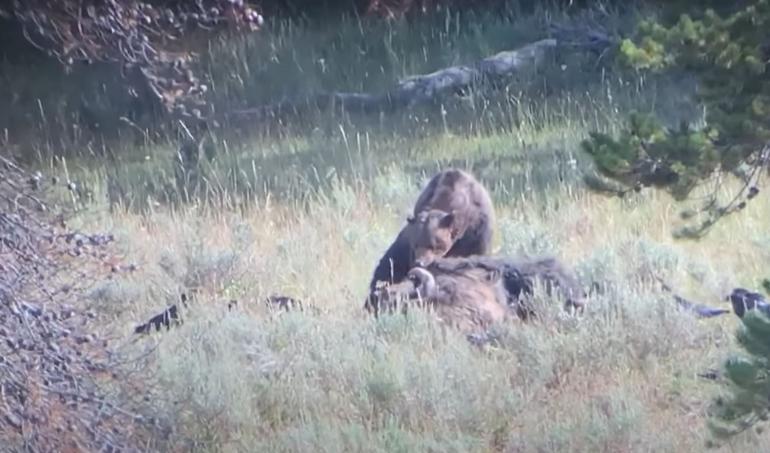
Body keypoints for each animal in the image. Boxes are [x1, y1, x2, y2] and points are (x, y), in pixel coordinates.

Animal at [365, 168, 495, 313]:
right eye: (416, 245)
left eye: (434, 246)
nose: (420, 262)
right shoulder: (408, 238)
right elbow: (391, 265)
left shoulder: (475, 236)